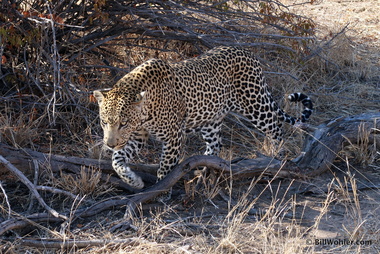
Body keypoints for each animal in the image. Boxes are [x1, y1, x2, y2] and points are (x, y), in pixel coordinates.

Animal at [93, 46, 314, 200]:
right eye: (104, 122)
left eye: (123, 123)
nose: (109, 143)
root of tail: (247, 52)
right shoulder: (138, 137)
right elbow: (116, 161)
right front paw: (134, 181)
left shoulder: (173, 137)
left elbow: (164, 168)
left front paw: (161, 191)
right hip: (211, 120)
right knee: (215, 145)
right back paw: (204, 171)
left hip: (255, 104)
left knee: (276, 128)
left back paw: (274, 158)